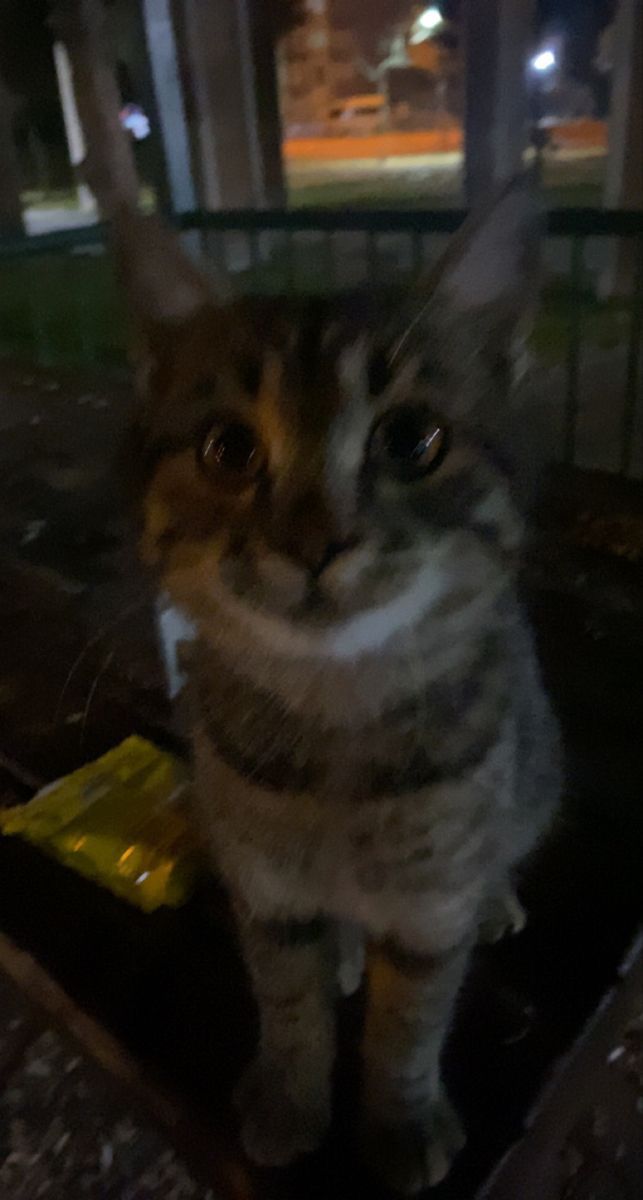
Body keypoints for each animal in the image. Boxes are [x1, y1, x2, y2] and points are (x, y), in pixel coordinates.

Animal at [118, 177, 559, 1190]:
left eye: (411, 439)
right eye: (227, 449)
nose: (312, 543)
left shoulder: (428, 910)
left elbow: (406, 1031)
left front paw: (399, 1121)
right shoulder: (267, 895)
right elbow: (288, 1008)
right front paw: (291, 1096)